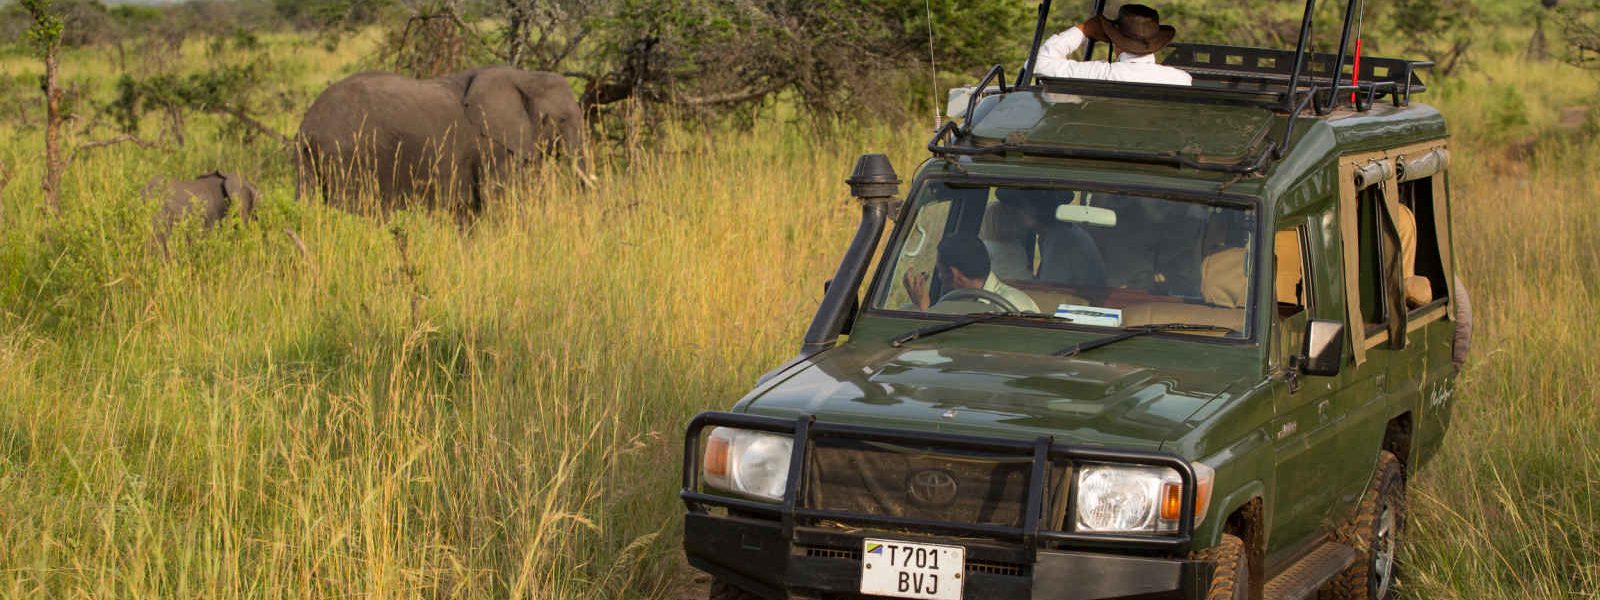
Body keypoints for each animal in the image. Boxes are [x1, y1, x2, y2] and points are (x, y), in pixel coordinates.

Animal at [297, 66, 585, 214]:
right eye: (562, 119)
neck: (525, 76)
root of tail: (307, 126)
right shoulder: (494, 147)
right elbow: (499, 200)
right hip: (347, 156)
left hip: (310, 161)